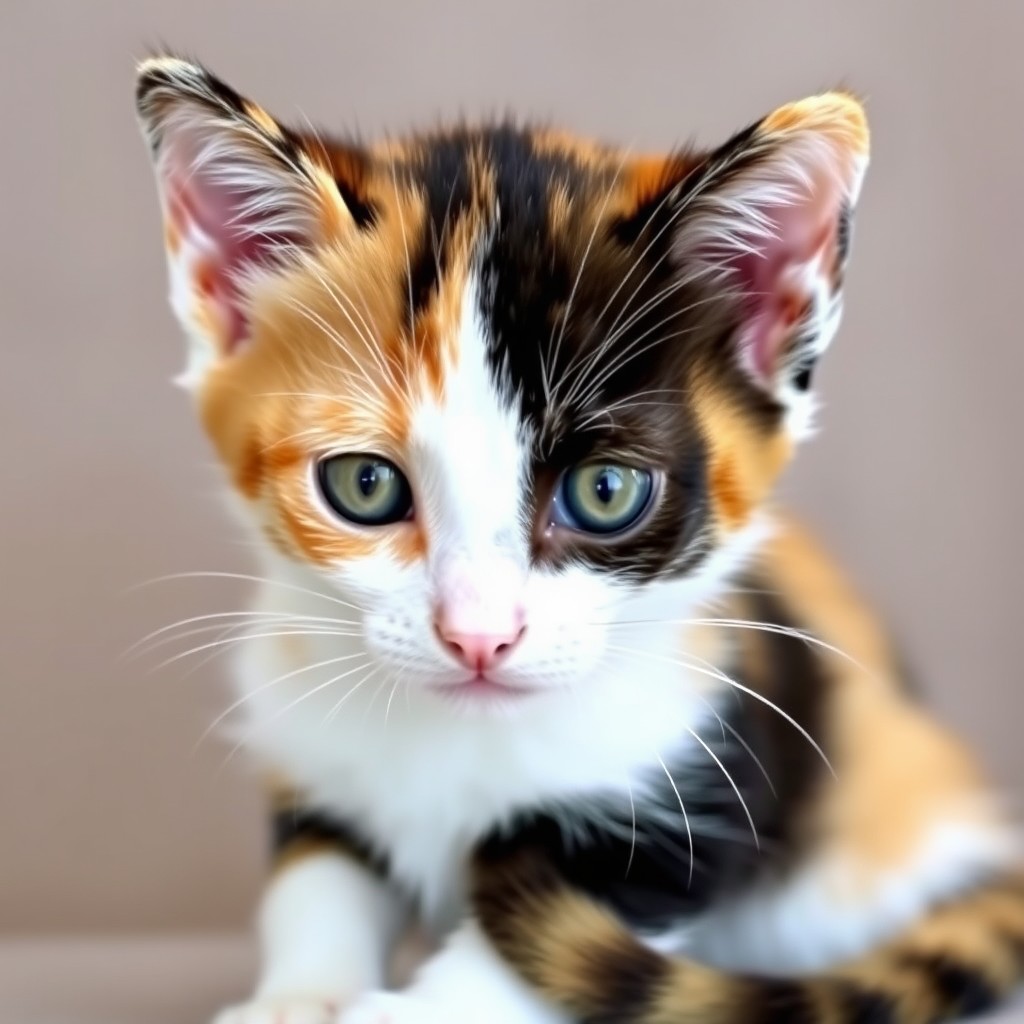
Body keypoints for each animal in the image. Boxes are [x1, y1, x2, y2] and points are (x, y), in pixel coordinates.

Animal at [136, 54, 1024, 1024]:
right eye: (365, 485)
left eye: (604, 492)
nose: (478, 636)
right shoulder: (310, 749)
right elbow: (316, 880)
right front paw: (300, 998)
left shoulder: (694, 779)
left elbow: (535, 948)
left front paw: (402, 1012)